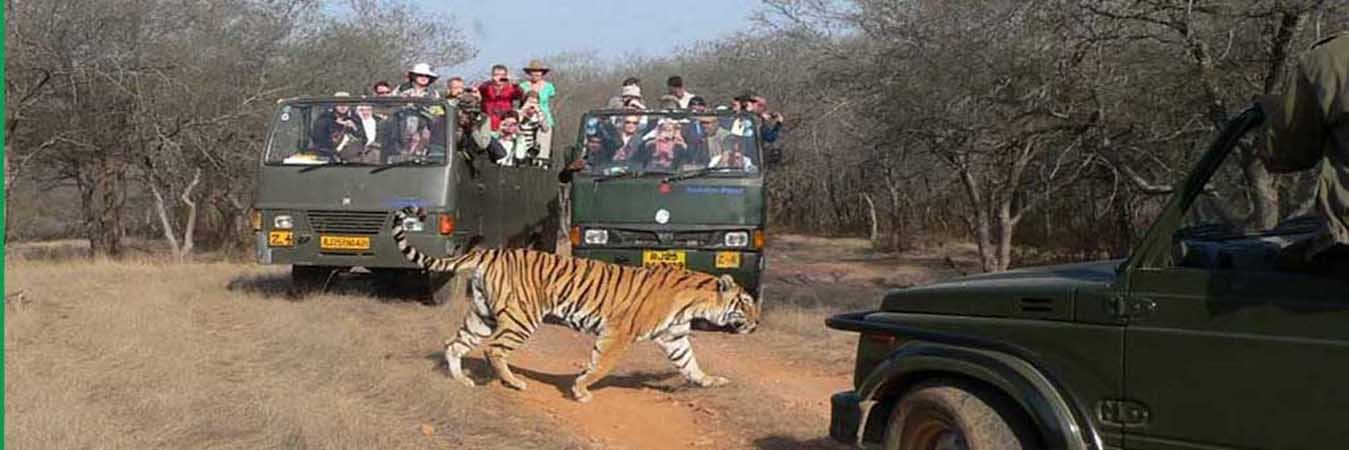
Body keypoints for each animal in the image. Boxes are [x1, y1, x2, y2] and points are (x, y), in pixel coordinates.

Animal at [391, 206, 760, 401]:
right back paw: (515, 382)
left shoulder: (675, 337)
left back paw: (461, 381)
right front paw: (581, 390)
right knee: (493, 350)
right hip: (521, 319)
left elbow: (691, 364)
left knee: (453, 344)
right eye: (746, 304)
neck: (695, 302)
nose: (757, 323)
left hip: (482, 316)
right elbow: (601, 365)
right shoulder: (618, 334)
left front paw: (711, 382)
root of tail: (492, 251)